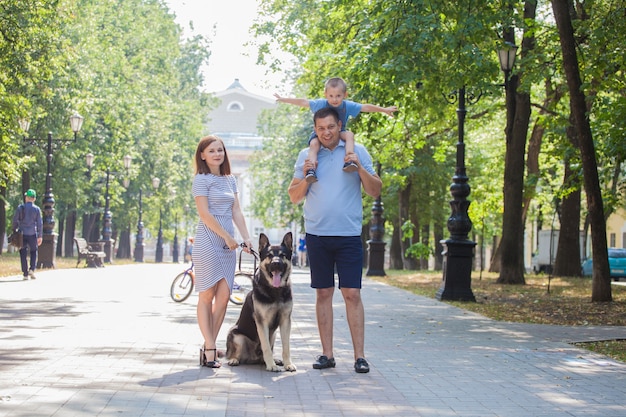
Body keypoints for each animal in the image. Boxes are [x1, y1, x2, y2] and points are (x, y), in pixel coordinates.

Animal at [224, 232, 294, 372]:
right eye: (270, 255)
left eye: (282, 255)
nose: (276, 263)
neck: (275, 290)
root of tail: (252, 358)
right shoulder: (262, 322)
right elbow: (266, 347)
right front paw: (271, 365)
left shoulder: (285, 321)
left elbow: (286, 347)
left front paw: (287, 363)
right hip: (238, 336)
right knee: (235, 354)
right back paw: (234, 360)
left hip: (274, 334)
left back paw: (273, 360)